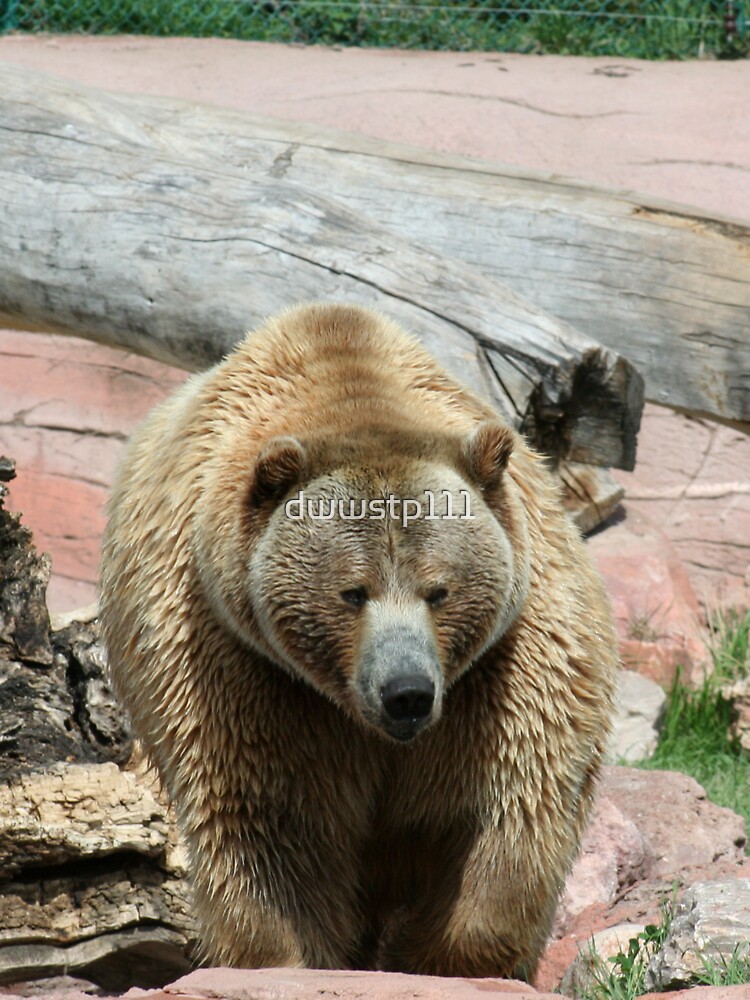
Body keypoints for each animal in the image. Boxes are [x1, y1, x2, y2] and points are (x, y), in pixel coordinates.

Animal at [100, 302, 618, 981]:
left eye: (438, 590)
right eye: (353, 592)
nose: (406, 693)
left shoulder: (505, 665)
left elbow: (507, 801)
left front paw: (453, 957)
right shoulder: (242, 663)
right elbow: (269, 821)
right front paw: (288, 955)